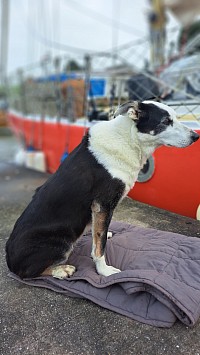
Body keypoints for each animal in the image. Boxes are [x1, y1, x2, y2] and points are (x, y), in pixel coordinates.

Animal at [5, 101, 199, 280]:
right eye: (166, 121)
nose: (195, 136)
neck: (129, 140)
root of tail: (9, 261)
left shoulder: (99, 210)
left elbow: (98, 234)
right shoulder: (103, 204)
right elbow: (100, 244)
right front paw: (104, 270)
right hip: (61, 242)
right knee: (28, 273)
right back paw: (61, 270)